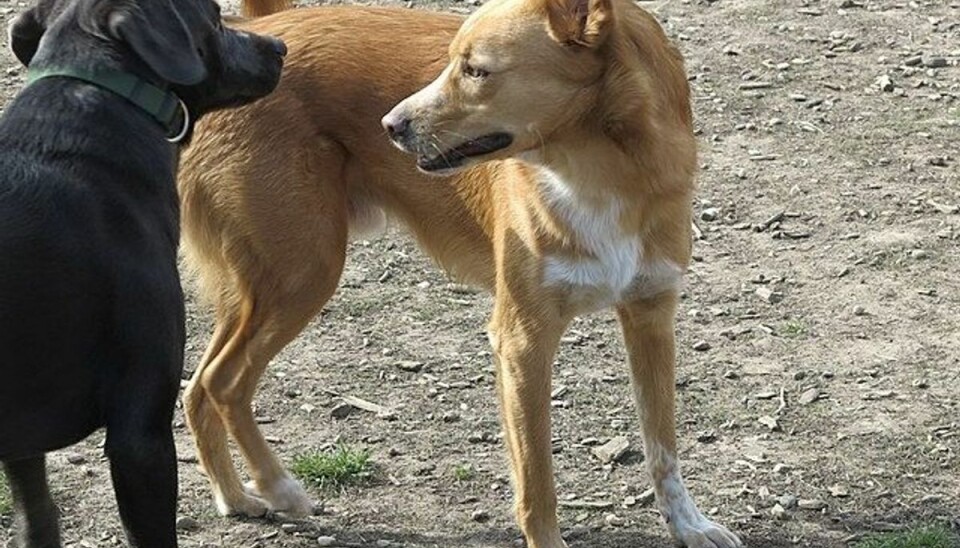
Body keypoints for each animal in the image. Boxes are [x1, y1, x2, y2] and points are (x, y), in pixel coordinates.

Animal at [178, 2, 744, 544]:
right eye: (456, 61)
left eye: (475, 70)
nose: (389, 126)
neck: (601, 174)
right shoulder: (522, 340)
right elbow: (537, 481)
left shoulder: (651, 316)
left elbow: (662, 445)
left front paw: (689, 526)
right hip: (302, 272)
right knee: (222, 382)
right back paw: (277, 487)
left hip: (273, 282)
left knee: (198, 387)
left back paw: (235, 497)